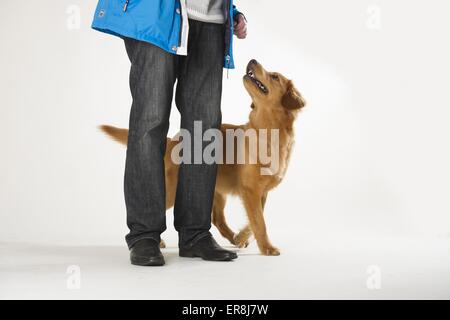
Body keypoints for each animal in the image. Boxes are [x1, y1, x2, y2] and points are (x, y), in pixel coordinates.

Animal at [101, 59, 306, 255]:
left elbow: (255, 219)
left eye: (274, 77)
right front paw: (268, 248)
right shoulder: (250, 189)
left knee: (218, 219)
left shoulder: (261, 192)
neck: (267, 131)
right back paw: (155, 241)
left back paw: (232, 238)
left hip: (214, 191)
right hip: (173, 190)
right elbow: (259, 222)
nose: (253, 60)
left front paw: (241, 237)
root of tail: (174, 139)